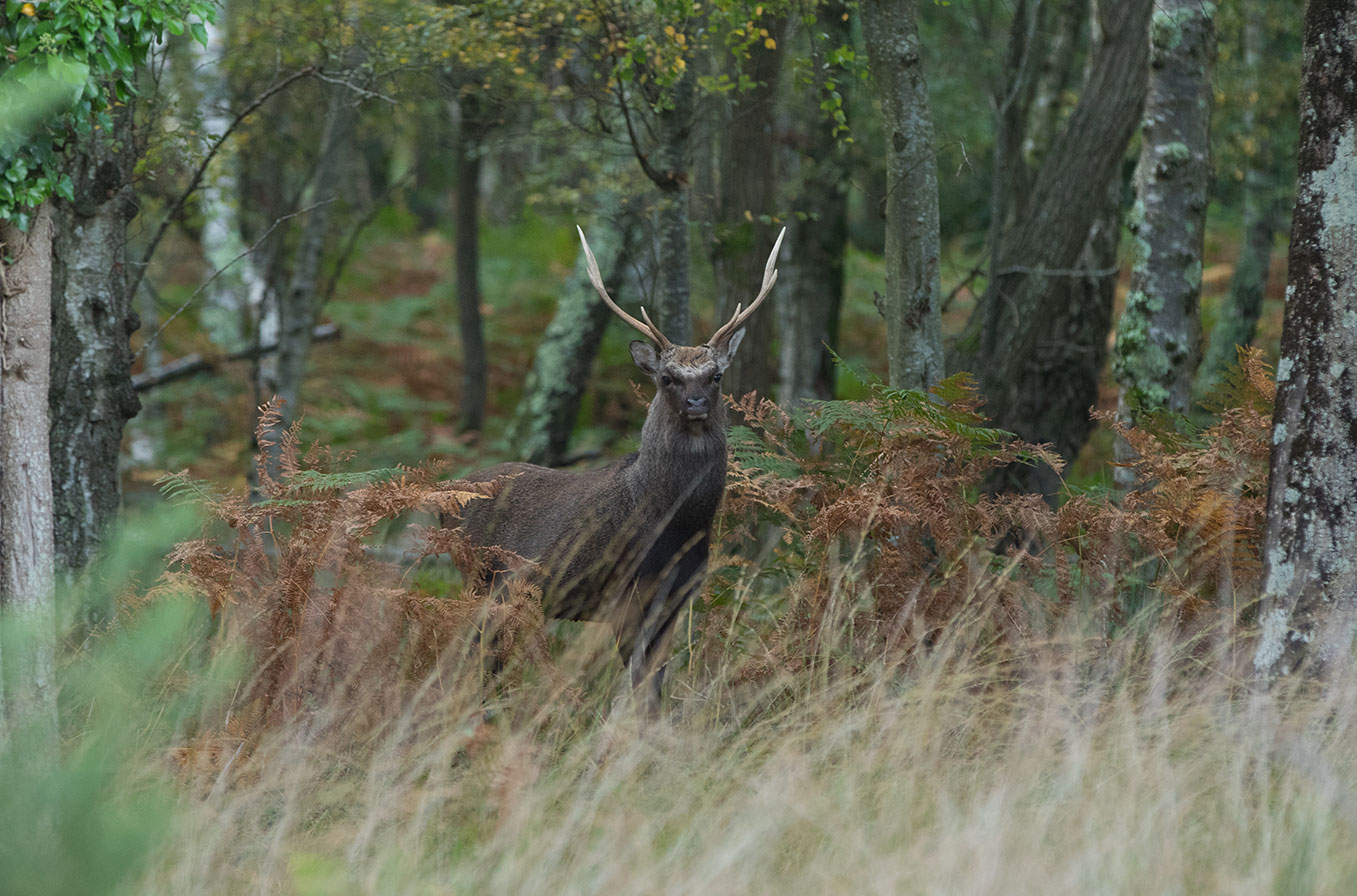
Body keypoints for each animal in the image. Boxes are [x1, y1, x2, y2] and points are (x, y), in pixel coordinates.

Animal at [447, 224, 787, 711]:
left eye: (716, 376)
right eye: (667, 378)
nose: (696, 403)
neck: (675, 522)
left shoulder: (677, 596)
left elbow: (655, 685)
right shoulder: (623, 594)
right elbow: (638, 687)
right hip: (483, 582)